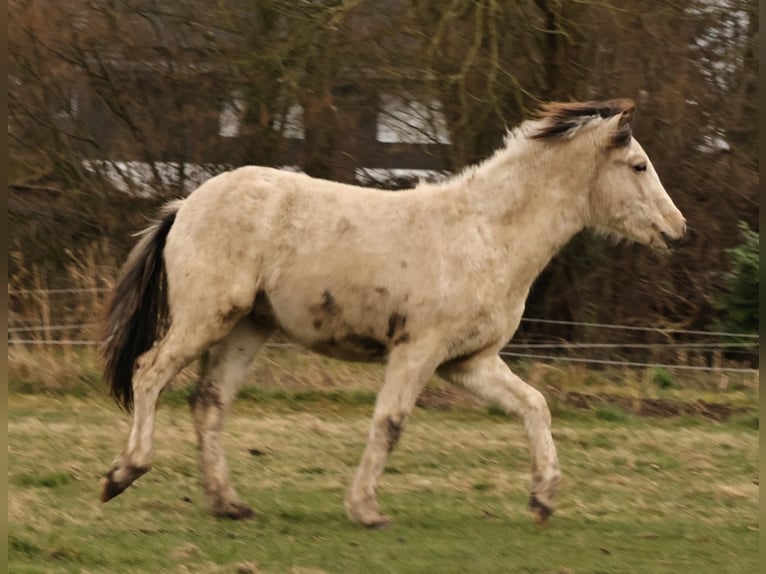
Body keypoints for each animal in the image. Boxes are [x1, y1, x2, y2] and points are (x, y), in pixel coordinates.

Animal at [100, 98, 686, 528]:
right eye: (638, 165)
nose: (677, 229)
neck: (488, 234)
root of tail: (185, 206)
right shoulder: (417, 351)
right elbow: (390, 423)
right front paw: (366, 510)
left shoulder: (468, 362)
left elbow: (534, 407)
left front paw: (543, 500)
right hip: (208, 317)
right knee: (149, 372)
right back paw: (124, 473)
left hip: (248, 326)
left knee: (210, 403)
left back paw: (228, 503)